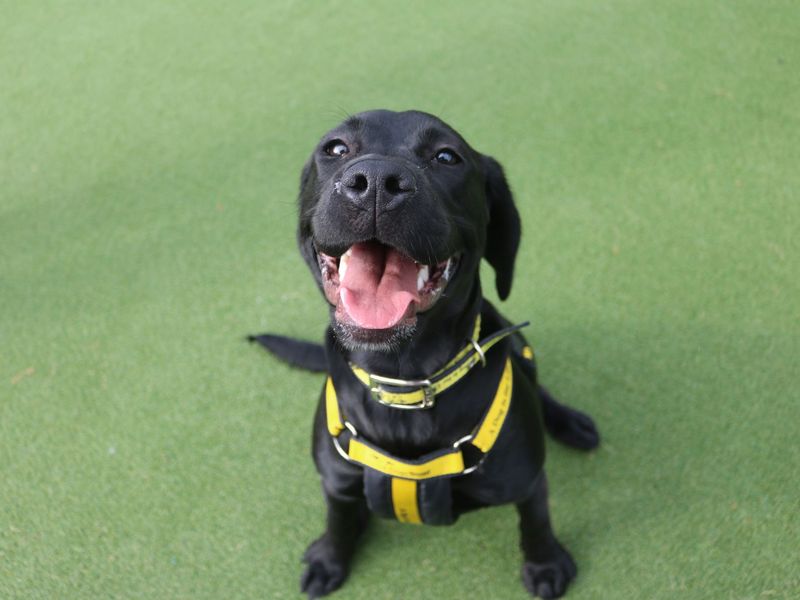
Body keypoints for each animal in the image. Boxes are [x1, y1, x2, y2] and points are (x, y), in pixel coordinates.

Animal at [252, 110, 600, 596]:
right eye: (336, 148)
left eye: (447, 156)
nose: (375, 182)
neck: (405, 384)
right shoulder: (337, 481)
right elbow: (338, 517)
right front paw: (330, 557)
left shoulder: (526, 480)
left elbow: (536, 521)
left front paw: (545, 564)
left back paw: (571, 423)